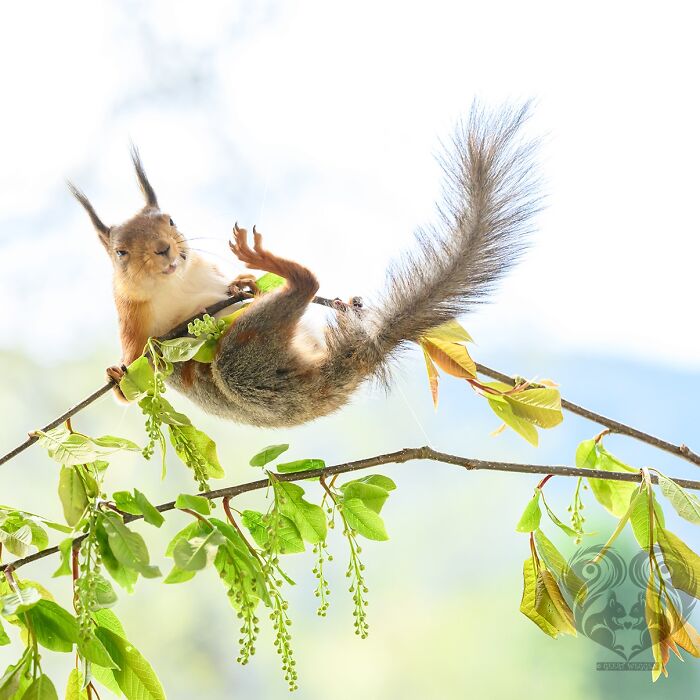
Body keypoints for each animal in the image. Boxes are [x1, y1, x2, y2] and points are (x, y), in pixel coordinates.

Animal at [69, 103, 540, 428]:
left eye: (171, 221)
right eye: (120, 253)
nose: (165, 250)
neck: (176, 285)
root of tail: (334, 376)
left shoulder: (206, 273)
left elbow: (230, 286)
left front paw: (244, 283)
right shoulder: (134, 328)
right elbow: (133, 385)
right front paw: (116, 374)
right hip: (244, 366)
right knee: (305, 286)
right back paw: (282, 270)